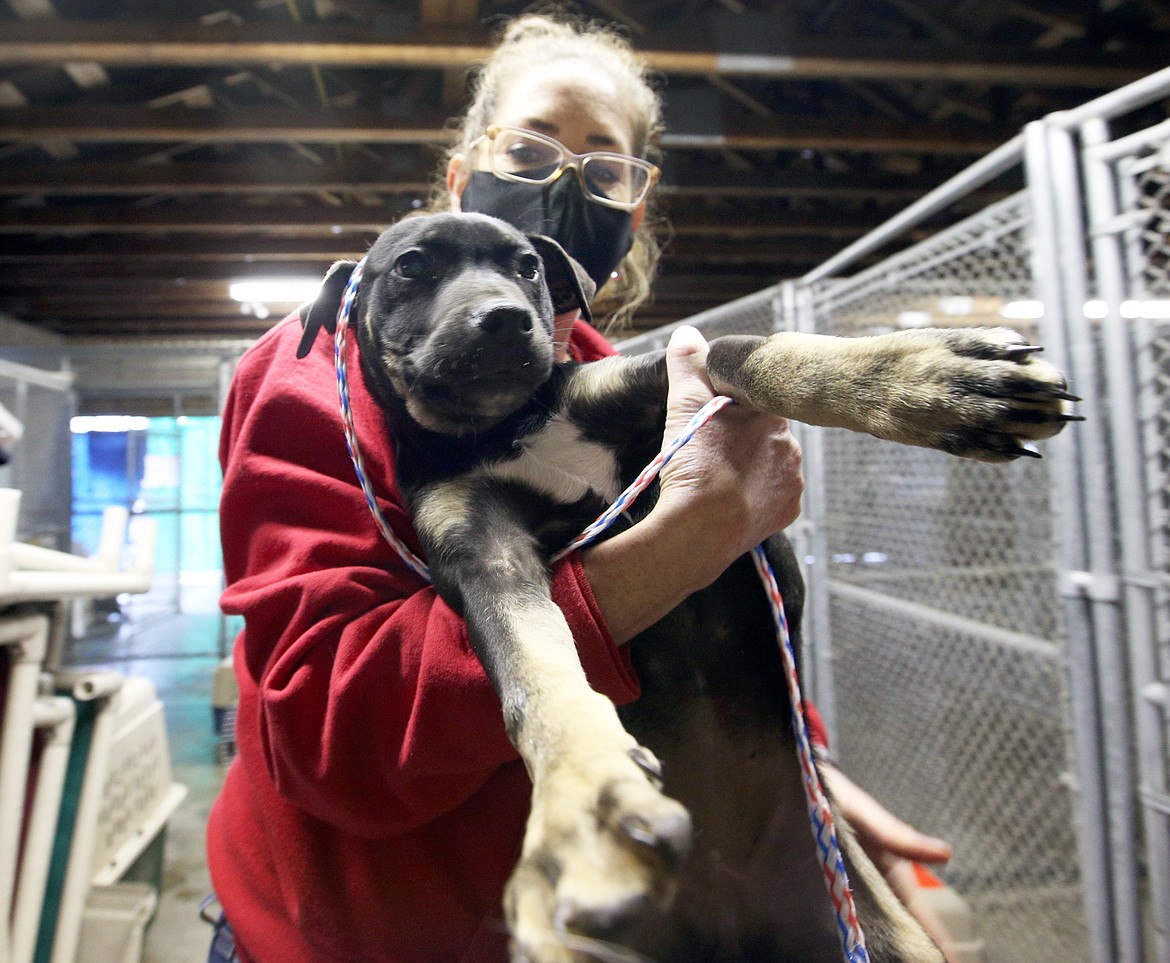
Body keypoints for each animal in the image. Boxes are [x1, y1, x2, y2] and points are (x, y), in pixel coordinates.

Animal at [299, 212, 1076, 963]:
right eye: (410, 267)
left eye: (526, 267)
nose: (505, 320)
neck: (504, 425)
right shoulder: (481, 555)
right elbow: (534, 674)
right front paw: (584, 803)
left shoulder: (663, 374)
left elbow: (754, 351)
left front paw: (929, 381)